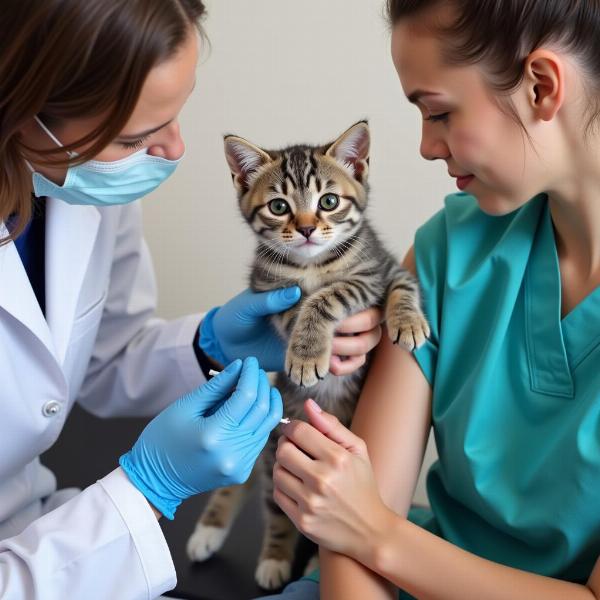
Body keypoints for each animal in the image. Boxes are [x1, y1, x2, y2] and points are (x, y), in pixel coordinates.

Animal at [185, 122, 428, 592]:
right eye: (279, 206)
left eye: (328, 202)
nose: (307, 229)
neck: (312, 265)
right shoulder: (265, 289)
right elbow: (294, 306)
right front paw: (304, 349)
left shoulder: (381, 271)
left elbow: (355, 291)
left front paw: (407, 323)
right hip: (277, 442)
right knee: (272, 504)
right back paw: (256, 551)